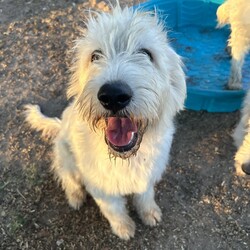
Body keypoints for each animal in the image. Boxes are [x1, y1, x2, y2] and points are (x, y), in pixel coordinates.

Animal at [24, 4, 186, 239]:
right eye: (95, 55)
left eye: (146, 54)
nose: (113, 95)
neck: (125, 158)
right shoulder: (101, 188)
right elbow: (113, 210)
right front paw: (124, 227)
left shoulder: (147, 176)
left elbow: (145, 196)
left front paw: (149, 213)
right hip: (67, 158)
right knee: (67, 178)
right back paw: (75, 197)